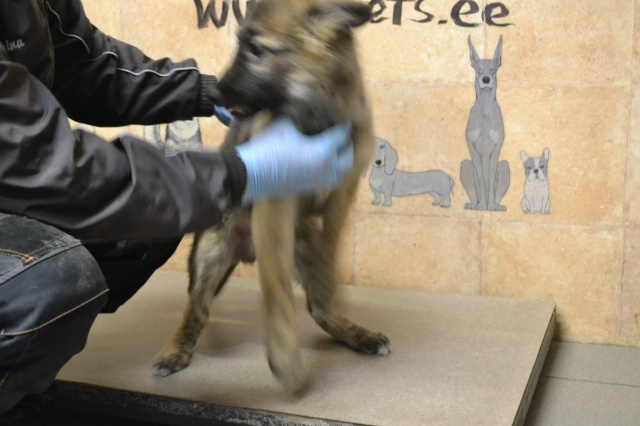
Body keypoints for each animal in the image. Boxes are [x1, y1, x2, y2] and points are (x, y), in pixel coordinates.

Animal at [154, 0, 391, 392]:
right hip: (211, 249)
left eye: (256, 49)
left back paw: (357, 333)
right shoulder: (275, 201)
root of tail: (246, 250)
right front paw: (284, 356)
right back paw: (175, 350)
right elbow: (277, 291)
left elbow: (329, 256)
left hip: (301, 244)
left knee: (318, 309)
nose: (213, 96)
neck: (315, 113)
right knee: (197, 308)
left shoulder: (342, 193)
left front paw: (331, 290)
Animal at [460, 36, 510, 211]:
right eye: (479, 69)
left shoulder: (496, 148)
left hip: (505, 166)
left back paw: (495, 206)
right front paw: (482, 204)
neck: (485, 112)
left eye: (493, 69)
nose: (486, 79)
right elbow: (482, 179)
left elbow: (490, 175)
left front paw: (491, 205)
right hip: (465, 165)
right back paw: (475, 205)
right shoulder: (473, 148)